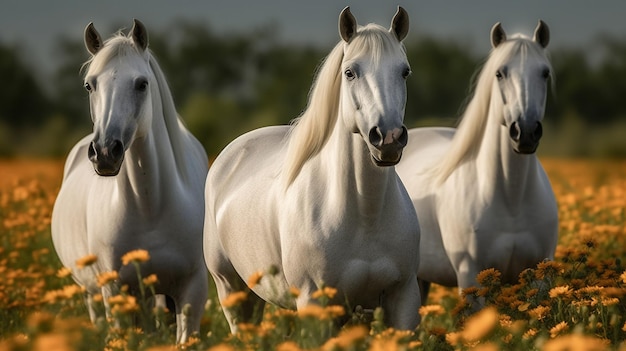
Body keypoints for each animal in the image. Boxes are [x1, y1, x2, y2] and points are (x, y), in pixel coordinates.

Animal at [51, 20, 207, 344]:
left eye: (142, 84)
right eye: (89, 85)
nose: (105, 152)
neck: (151, 207)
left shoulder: (192, 291)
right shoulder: (114, 291)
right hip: (97, 294)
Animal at [204, 7, 420, 332]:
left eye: (404, 71)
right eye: (350, 72)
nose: (389, 138)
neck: (365, 216)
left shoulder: (403, 298)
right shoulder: (313, 301)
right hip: (230, 289)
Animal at [394, 22, 556, 302]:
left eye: (544, 73)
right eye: (500, 73)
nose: (525, 132)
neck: (511, 199)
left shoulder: (540, 276)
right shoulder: (471, 278)